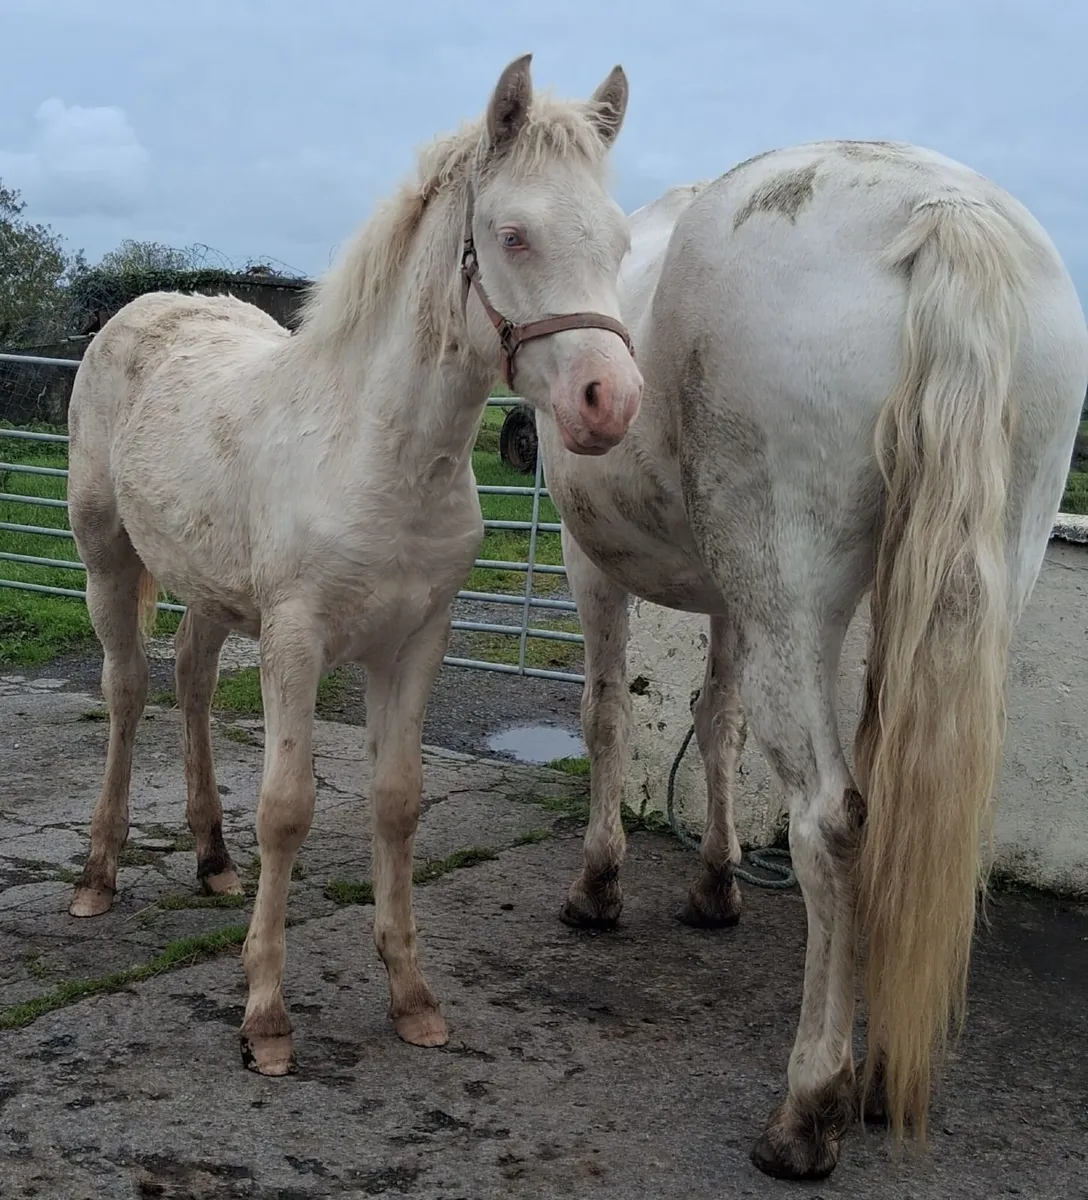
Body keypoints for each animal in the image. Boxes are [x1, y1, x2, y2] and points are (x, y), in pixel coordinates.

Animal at [64, 54, 642, 1077]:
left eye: (616, 242)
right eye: (513, 235)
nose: (608, 401)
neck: (380, 450)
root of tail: (150, 304)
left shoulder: (415, 641)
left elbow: (397, 801)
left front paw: (411, 996)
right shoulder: (297, 640)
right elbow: (288, 806)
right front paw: (265, 1013)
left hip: (212, 588)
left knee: (192, 679)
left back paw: (213, 860)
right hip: (105, 561)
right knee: (127, 689)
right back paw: (99, 873)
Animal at [535, 142, 1088, 1180]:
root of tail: (941, 209)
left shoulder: (595, 568)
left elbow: (606, 715)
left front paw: (598, 885)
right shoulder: (727, 602)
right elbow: (716, 725)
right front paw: (714, 884)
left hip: (789, 592)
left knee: (832, 821)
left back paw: (810, 1106)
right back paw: (884, 1074)